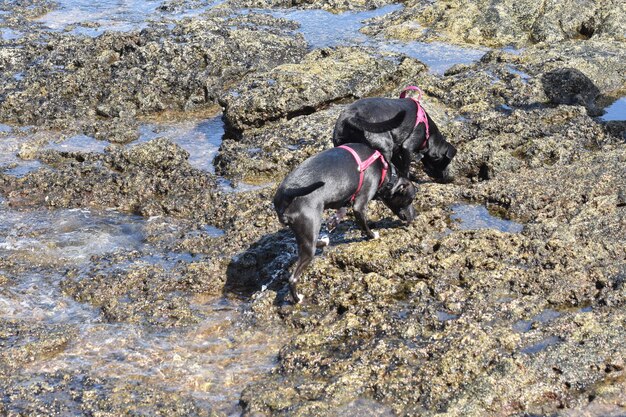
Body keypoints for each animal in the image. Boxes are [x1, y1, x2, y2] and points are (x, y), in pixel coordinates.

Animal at [272, 143, 414, 302]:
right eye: (410, 199)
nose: (414, 216)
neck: (384, 169)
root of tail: (287, 192)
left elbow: (342, 210)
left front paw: (333, 221)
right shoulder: (359, 204)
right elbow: (364, 224)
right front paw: (372, 235)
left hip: (304, 231)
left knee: (312, 243)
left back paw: (323, 241)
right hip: (309, 229)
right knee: (293, 278)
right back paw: (297, 298)